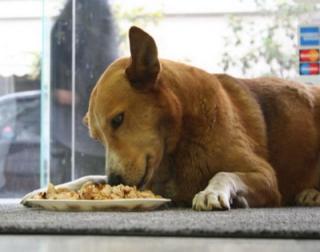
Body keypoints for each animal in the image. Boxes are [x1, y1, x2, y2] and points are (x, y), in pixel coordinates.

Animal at [23, 26, 320, 210]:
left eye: (118, 120)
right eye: (97, 138)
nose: (115, 180)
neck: (181, 139)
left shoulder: (266, 178)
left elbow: (223, 173)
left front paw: (212, 192)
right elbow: (89, 178)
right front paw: (42, 192)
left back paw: (311, 194)